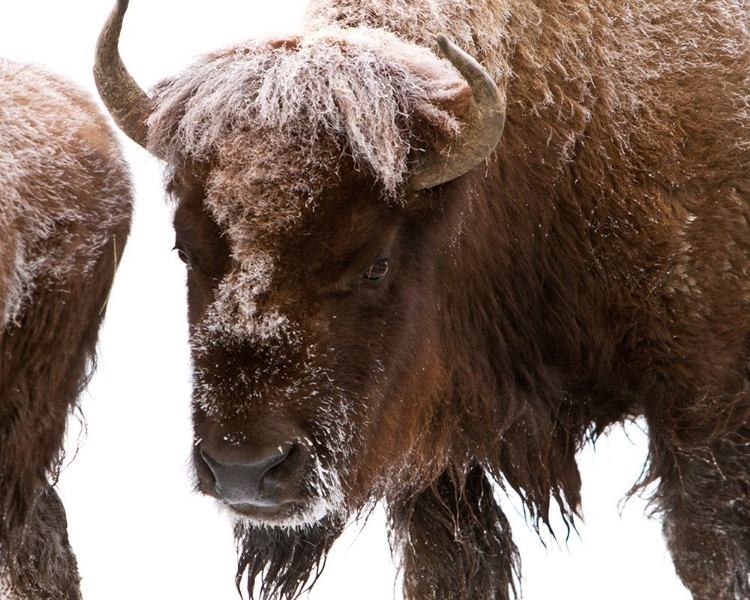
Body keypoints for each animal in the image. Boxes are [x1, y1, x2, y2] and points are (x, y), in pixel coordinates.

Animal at [97, 0, 748, 596]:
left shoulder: (703, 413)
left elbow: (708, 555)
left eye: (376, 263)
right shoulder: (438, 461)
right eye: (185, 251)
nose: (244, 470)